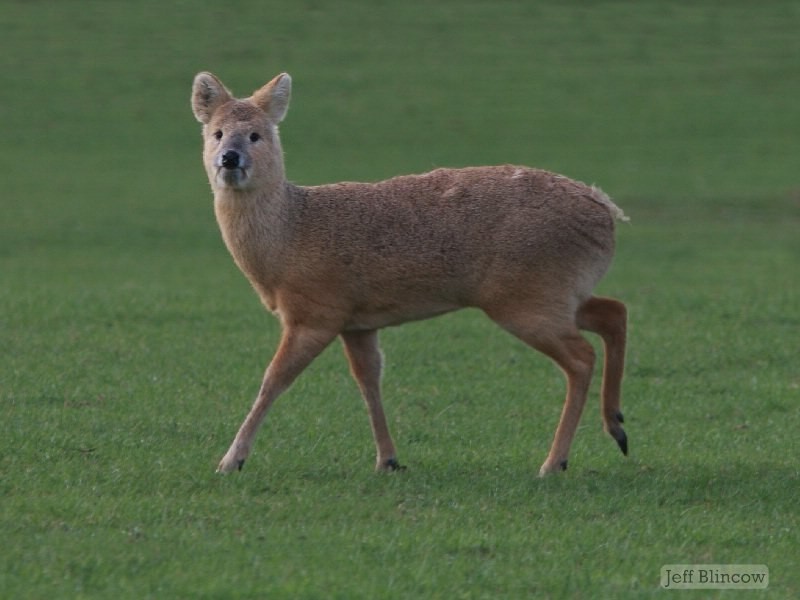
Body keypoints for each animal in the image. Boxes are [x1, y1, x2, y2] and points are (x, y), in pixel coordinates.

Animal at [191, 71, 628, 478]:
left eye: (256, 135)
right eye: (216, 132)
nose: (229, 157)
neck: (288, 236)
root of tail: (607, 211)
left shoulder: (315, 312)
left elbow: (273, 380)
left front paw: (230, 461)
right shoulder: (356, 321)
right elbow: (369, 381)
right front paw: (388, 459)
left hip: (526, 299)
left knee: (582, 356)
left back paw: (555, 462)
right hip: (555, 293)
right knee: (614, 312)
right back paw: (616, 426)